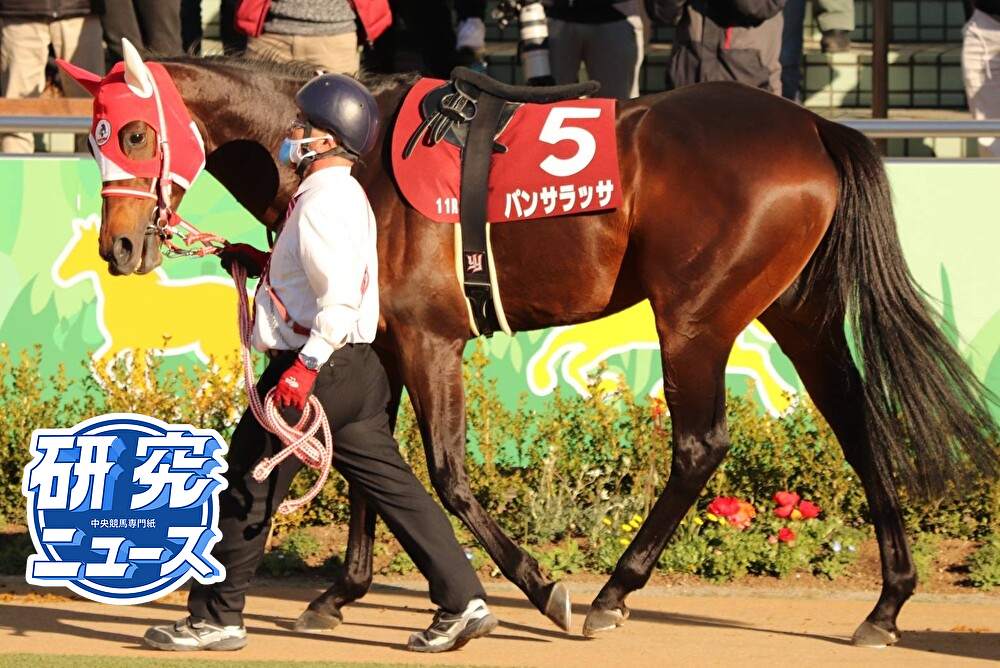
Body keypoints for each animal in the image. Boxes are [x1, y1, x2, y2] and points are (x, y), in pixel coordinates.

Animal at [63, 51, 999, 646]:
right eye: (93, 135)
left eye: (134, 134)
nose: (120, 248)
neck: (353, 164)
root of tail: (812, 127)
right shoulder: (381, 340)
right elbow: (363, 463)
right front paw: (339, 594)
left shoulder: (428, 338)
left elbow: (440, 473)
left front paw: (536, 589)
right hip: (798, 311)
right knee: (855, 421)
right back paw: (887, 606)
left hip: (695, 317)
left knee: (701, 446)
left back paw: (615, 592)